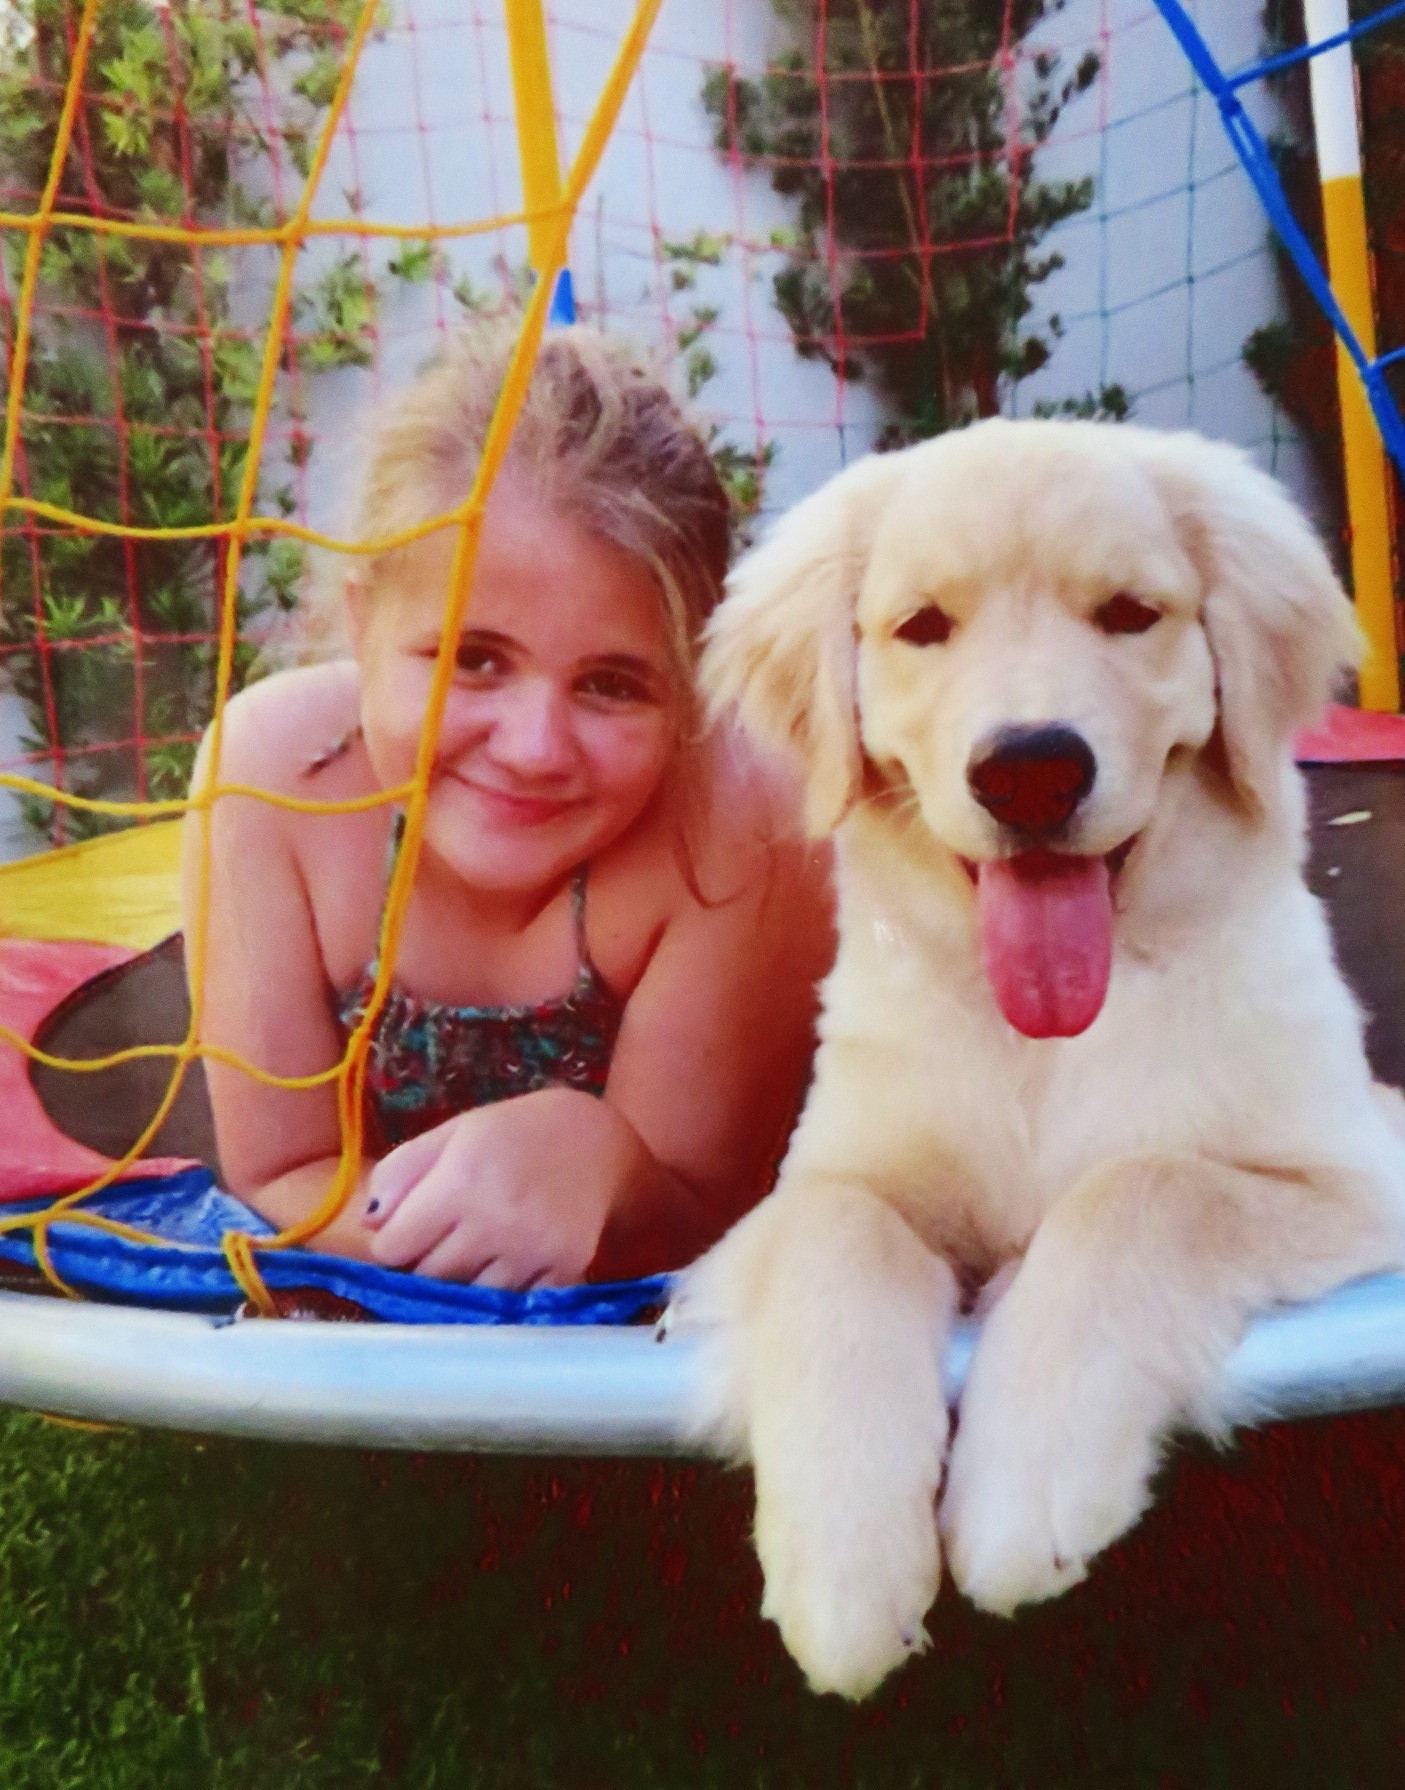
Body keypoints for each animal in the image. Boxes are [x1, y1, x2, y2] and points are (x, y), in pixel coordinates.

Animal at [668, 419, 1405, 1700]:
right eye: (921, 626)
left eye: (1128, 613)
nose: (1028, 769)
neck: (1042, 1040)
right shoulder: (803, 1193)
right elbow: (837, 1232)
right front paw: (843, 1564)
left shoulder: (1359, 1180)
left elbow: (1143, 1188)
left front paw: (1026, 1483)